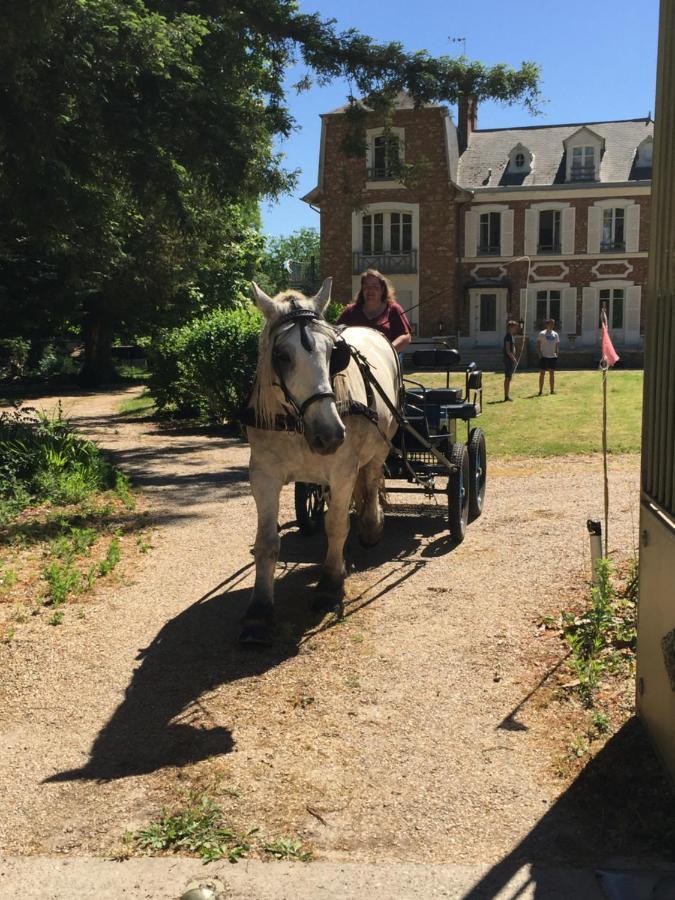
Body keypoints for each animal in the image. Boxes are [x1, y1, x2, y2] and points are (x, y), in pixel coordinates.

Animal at [243, 278, 402, 644]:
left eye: (334, 353)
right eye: (282, 355)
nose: (329, 434)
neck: (296, 424)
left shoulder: (343, 471)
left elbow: (337, 525)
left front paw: (330, 585)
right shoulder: (263, 476)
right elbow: (267, 542)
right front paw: (259, 610)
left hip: (381, 444)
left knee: (371, 479)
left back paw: (371, 526)